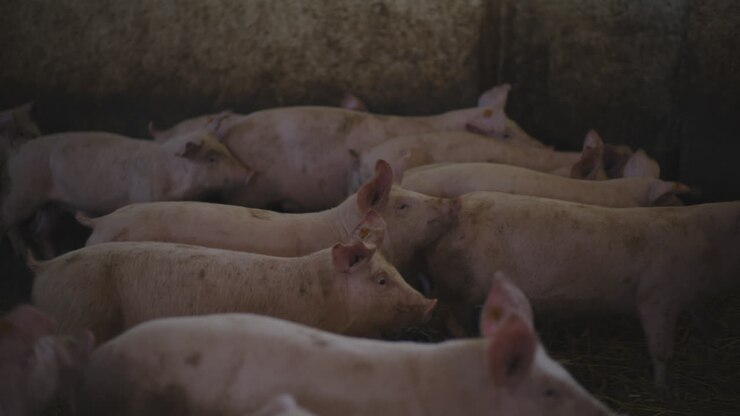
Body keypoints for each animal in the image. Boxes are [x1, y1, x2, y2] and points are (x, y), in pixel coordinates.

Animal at [0, 129, 253, 243]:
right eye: (212, 158)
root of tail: (16, 152)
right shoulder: (142, 196)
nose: (249, 172)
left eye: (226, 149)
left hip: (51, 205)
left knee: (40, 231)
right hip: (22, 191)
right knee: (12, 223)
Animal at [423, 191, 740, 391]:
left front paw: (711, 351)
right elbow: (661, 351)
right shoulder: (657, 296)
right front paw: (663, 389)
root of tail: (457, 210)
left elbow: (704, 323)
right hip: (463, 289)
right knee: (450, 320)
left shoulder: (691, 298)